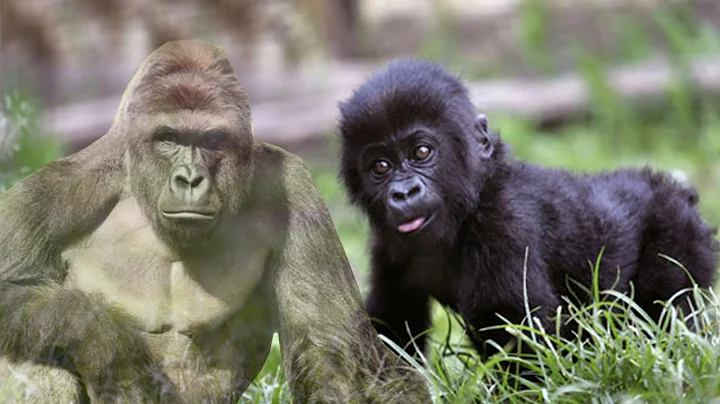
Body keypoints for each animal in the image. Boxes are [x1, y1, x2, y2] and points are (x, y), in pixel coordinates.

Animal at [0, 40, 431, 404]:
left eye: (211, 141)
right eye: (168, 138)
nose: (190, 179)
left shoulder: (292, 185)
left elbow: (334, 349)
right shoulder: (59, 190)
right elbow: (16, 293)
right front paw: (107, 345)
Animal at [336, 58, 719, 366]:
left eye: (421, 152)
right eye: (381, 166)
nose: (404, 193)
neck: (471, 203)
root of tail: (676, 190)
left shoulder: (504, 222)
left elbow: (518, 333)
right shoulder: (388, 244)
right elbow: (393, 321)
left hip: (678, 232)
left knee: (667, 313)